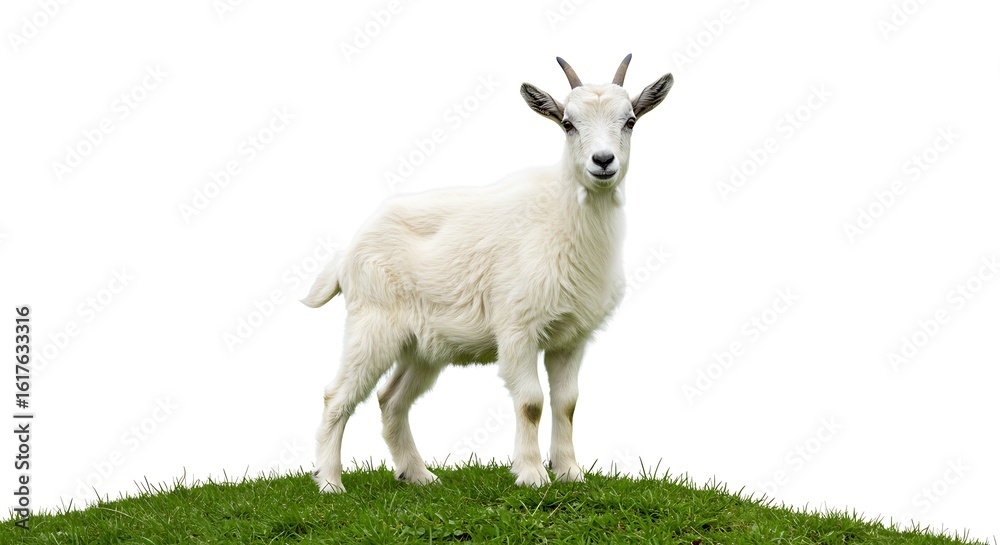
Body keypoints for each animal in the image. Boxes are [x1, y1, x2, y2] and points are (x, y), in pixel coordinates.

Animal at [303, 54, 673, 492]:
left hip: (422, 345)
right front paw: (531, 475)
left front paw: (570, 473)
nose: (602, 161)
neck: (562, 221)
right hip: (373, 325)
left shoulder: (571, 336)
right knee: (337, 395)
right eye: (568, 123)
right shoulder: (517, 327)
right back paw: (330, 481)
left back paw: (419, 475)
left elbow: (567, 403)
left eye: (630, 120)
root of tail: (347, 252)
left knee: (390, 399)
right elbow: (531, 401)